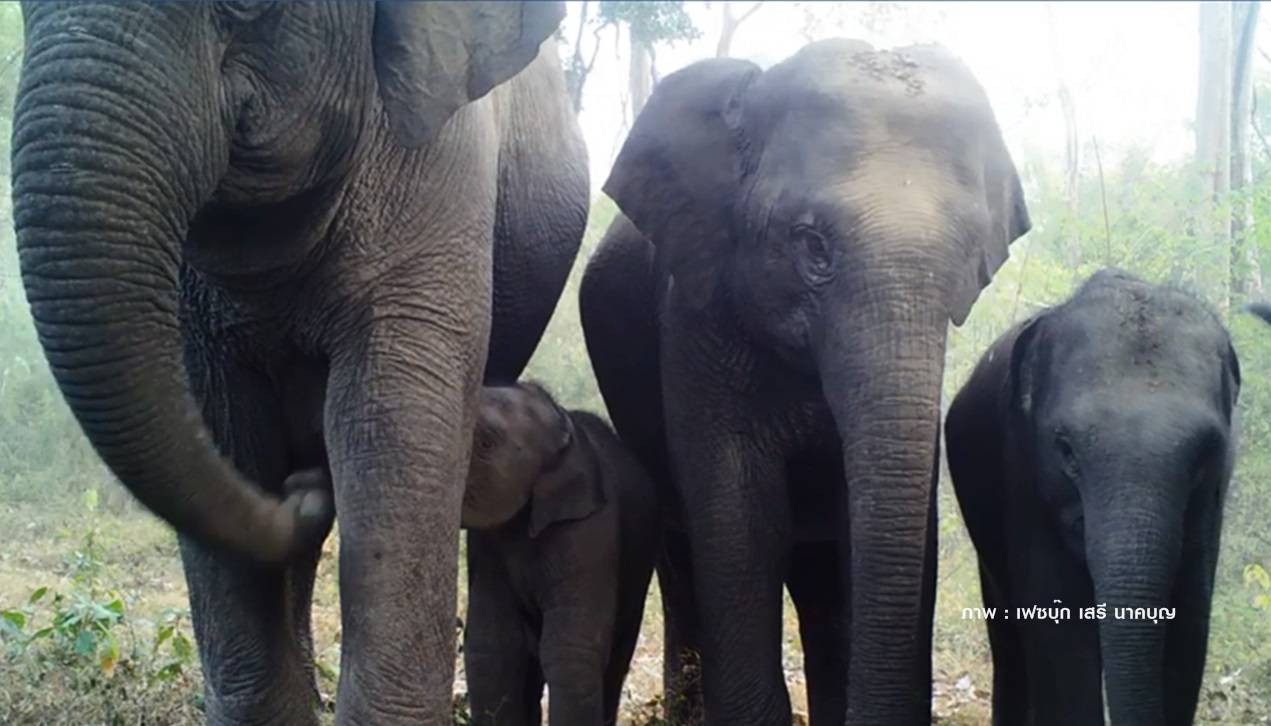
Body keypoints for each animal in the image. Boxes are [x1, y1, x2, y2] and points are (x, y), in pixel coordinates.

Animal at [950, 269, 1235, 726]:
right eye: (1065, 449)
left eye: (1206, 452)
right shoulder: (1023, 474)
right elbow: (1060, 625)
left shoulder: (1211, 503)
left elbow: (1190, 623)